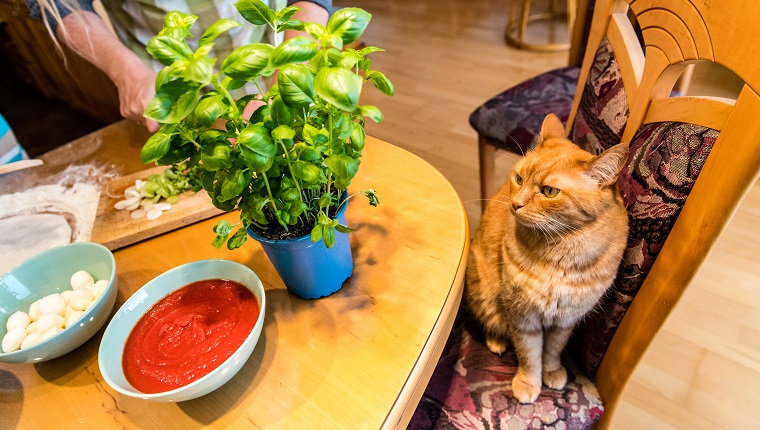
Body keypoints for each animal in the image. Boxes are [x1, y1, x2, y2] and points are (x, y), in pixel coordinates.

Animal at [470, 113, 628, 404]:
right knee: (490, 319)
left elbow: (553, 350)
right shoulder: (522, 316)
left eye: (549, 191)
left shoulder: (565, 320)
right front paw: (528, 382)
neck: (558, 256)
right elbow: (529, 354)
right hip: (483, 291)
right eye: (519, 178)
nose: (515, 204)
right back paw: (497, 340)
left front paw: (551, 372)